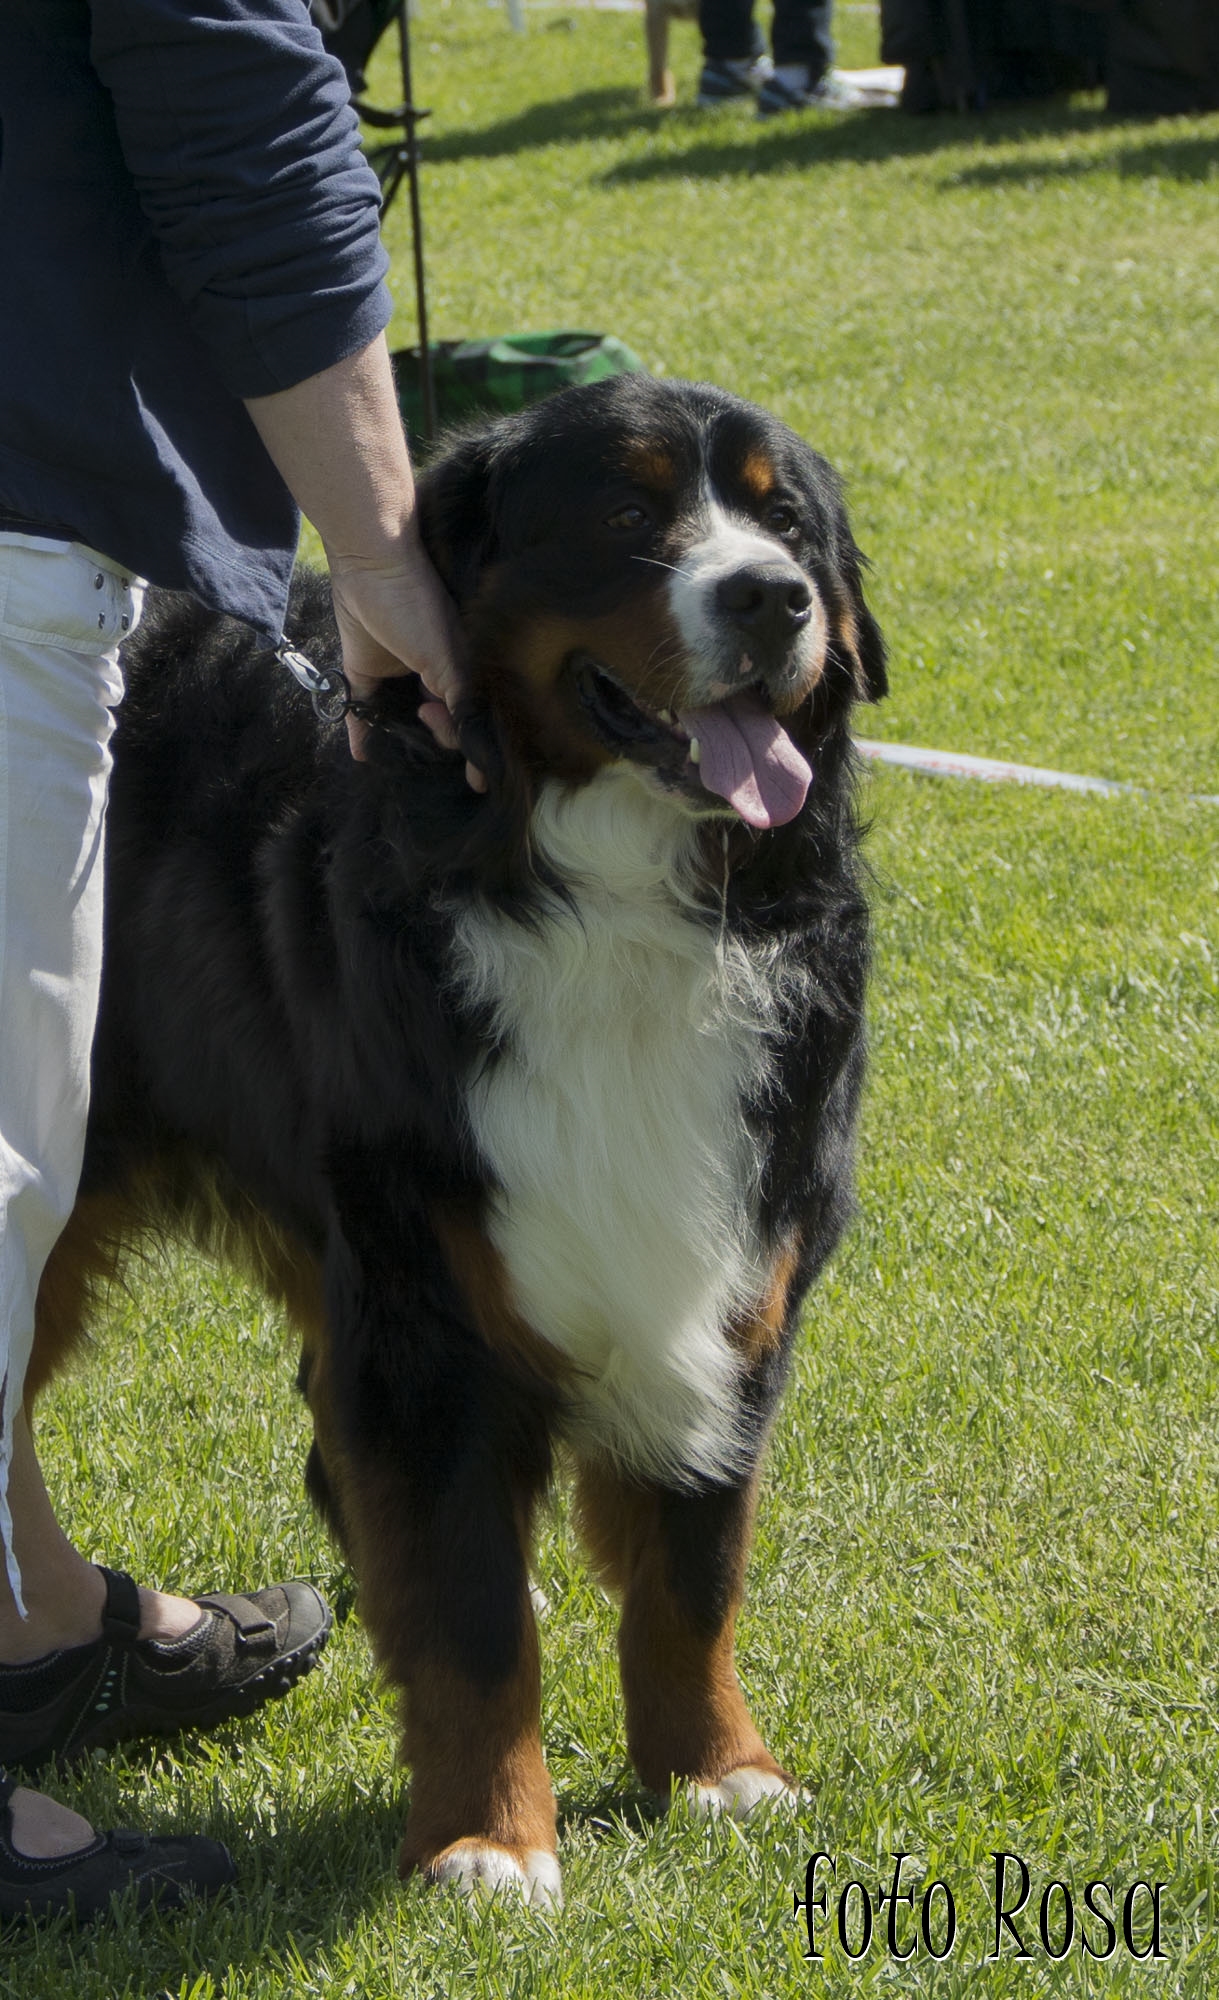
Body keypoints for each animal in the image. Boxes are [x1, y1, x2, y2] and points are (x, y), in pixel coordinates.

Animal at [31, 373, 886, 1906]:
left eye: (785, 520)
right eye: (624, 514)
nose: (770, 598)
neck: (611, 904)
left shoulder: (733, 1276)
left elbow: (690, 1572)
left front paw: (714, 1768)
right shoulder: (427, 1308)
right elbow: (473, 1612)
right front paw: (488, 1836)